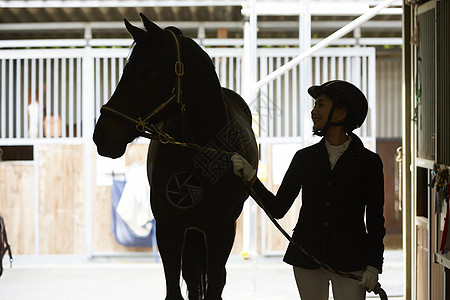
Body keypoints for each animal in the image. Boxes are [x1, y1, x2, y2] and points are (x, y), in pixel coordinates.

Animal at [92, 14, 256, 300]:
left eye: (143, 72)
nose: (101, 135)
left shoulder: (222, 230)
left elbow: (214, 286)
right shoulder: (169, 228)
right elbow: (175, 289)